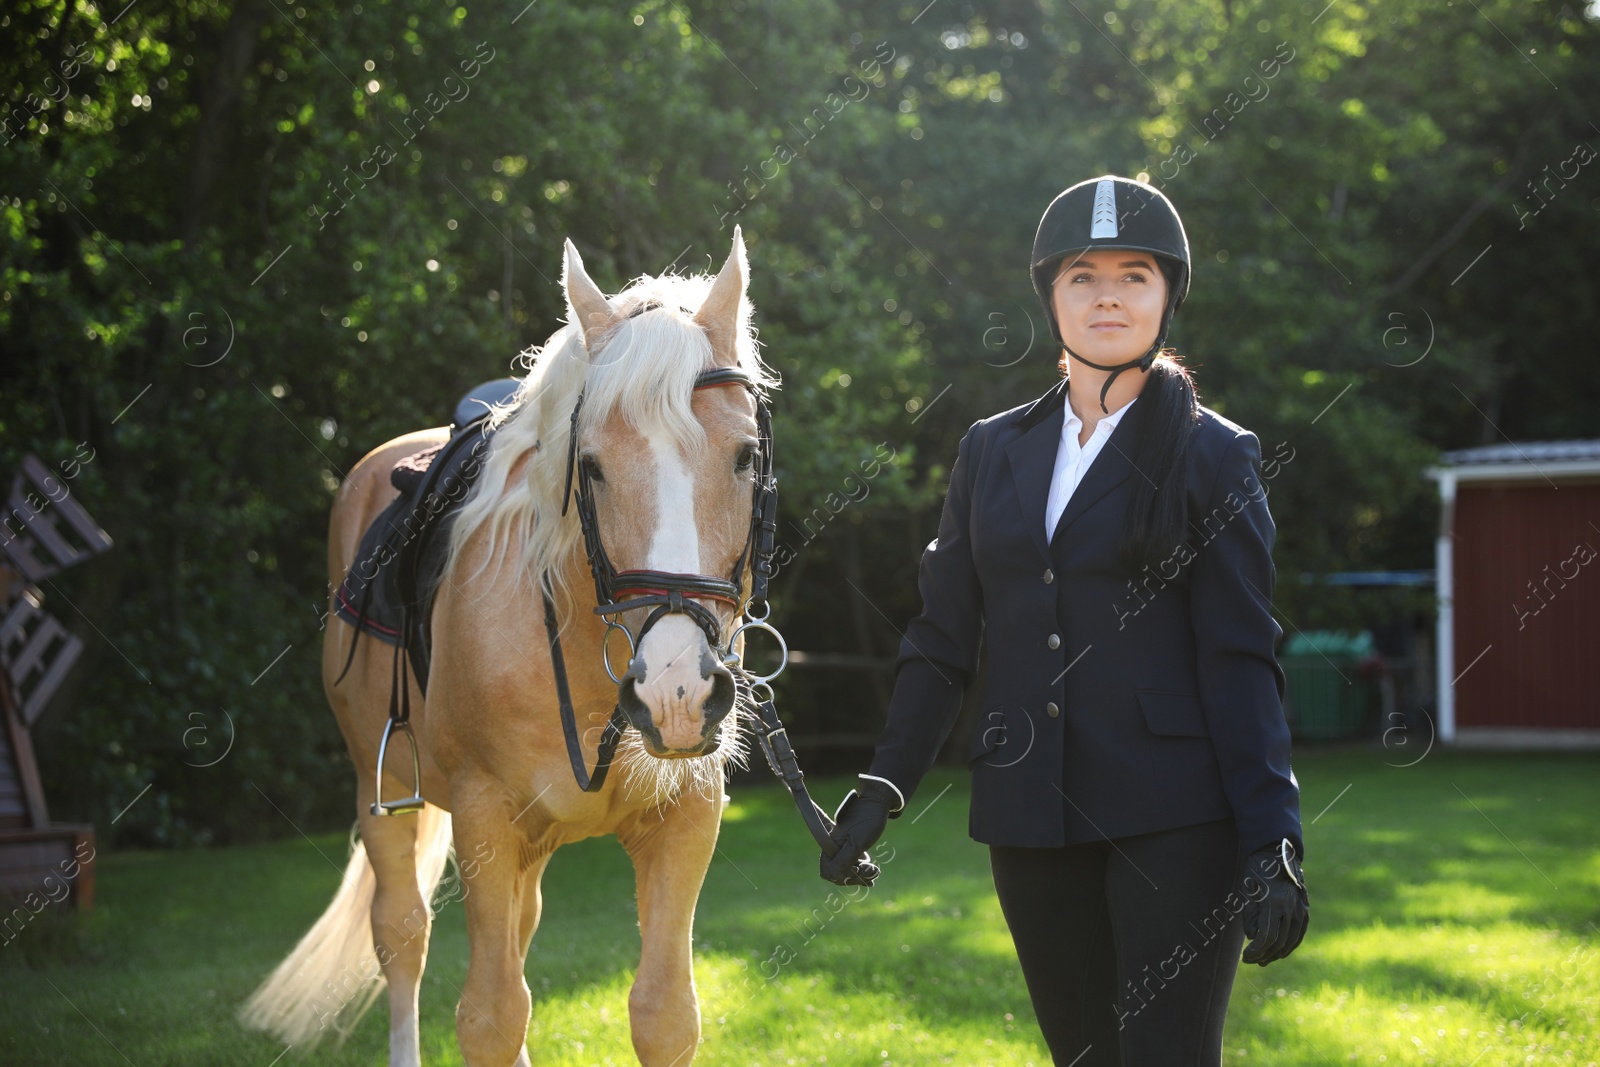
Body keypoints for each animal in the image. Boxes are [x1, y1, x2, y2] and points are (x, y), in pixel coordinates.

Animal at [238, 230, 780, 1062]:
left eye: (745, 456)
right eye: (590, 466)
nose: (677, 693)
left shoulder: (686, 813)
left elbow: (664, 1013)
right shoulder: (483, 816)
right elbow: (489, 1015)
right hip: (379, 789)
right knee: (403, 935)